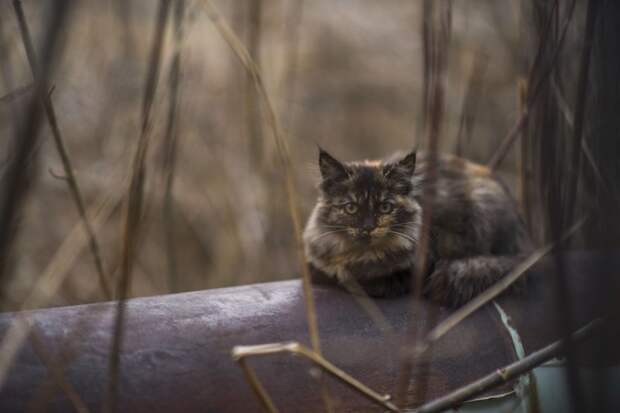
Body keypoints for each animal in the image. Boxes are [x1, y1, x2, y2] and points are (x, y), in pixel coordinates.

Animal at [302, 148, 532, 306]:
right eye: (351, 208)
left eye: (385, 207)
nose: (368, 226)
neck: (361, 256)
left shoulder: (412, 271)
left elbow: (355, 280)